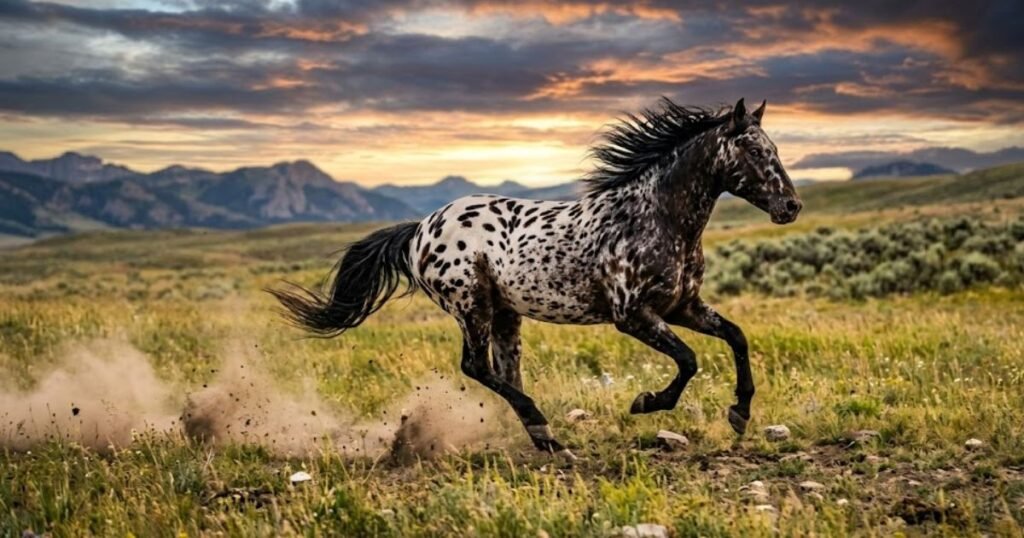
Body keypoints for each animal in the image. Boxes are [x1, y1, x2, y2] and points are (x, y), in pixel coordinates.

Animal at [270, 97, 802, 460]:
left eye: (773, 147)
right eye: (755, 150)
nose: (791, 206)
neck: (657, 218)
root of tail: (421, 228)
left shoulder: (682, 307)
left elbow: (736, 337)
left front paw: (740, 414)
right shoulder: (633, 316)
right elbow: (689, 360)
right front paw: (646, 402)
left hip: (506, 314)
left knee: (505, 371)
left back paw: (548, 440)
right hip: (472, 306)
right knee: (476, 367)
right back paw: (544, 428)